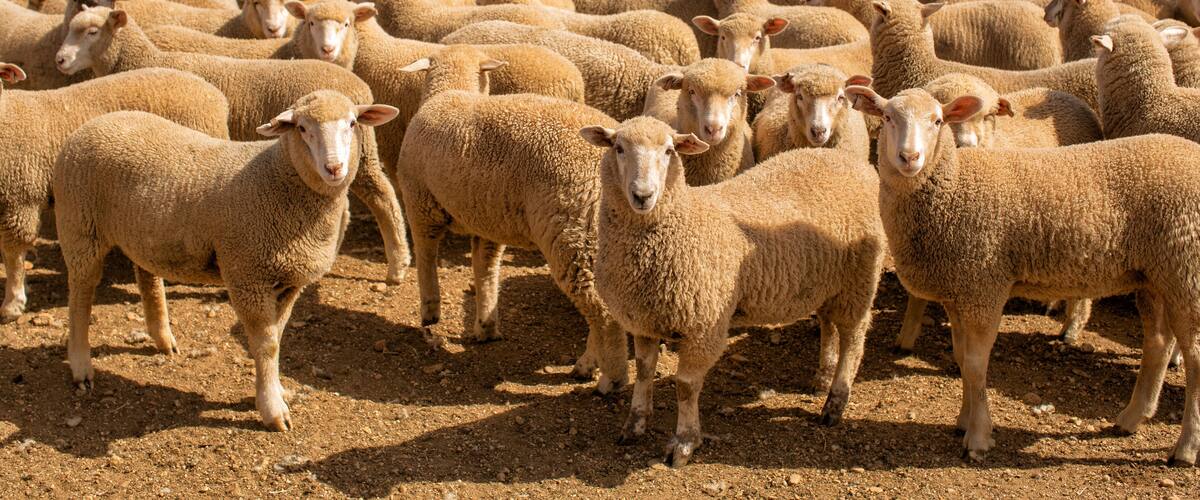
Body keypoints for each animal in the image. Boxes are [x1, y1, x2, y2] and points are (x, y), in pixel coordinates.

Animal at [54, 90, 399, 431]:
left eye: (352, 123)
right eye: (302, 128)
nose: (334, 168)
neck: (277, 178)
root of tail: (91, 125)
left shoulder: (290, 282)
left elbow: (278, 336)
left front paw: (275, 390)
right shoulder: (247, 274)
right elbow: (266, 345)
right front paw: (272, 409)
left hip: (142, 232)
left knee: (147, 276)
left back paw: (162, 339)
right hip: (80, 227)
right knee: (81, 296)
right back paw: (81, 365)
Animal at [57, 6, 412, 283]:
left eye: (91, 32)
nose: (60, 60)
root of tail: (359, 88)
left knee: (383, 196)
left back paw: (396, 265)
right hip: (354, 154)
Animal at [395, 45, 629, 392]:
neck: (451, 90)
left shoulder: (420, 202)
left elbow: (426, 258)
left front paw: (430, 311)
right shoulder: (487, 219)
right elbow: (485, 269)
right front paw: (486, 325)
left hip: (573, 233)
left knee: (604, 312)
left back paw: (611, 379)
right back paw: (588, 364)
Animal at [580, 116, 884, 467]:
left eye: (669, 151)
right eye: (618, 148)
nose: (643, 195)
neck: (682, 222)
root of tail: (855, 164)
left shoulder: (705, 326)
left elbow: (686, 387)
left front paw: (684, 443)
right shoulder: (643, 321)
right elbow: (644, 371)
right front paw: (635, 423)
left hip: (858, 281)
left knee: (854, 338)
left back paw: (835, 401)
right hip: (827, 282)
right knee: (828, 324)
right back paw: (823, 376)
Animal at [891, 72, 1103, 352]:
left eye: (988, 115)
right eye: (944, 117)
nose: (967, 144)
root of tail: (1073, 100)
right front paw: (906, 335)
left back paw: (1072, 328)